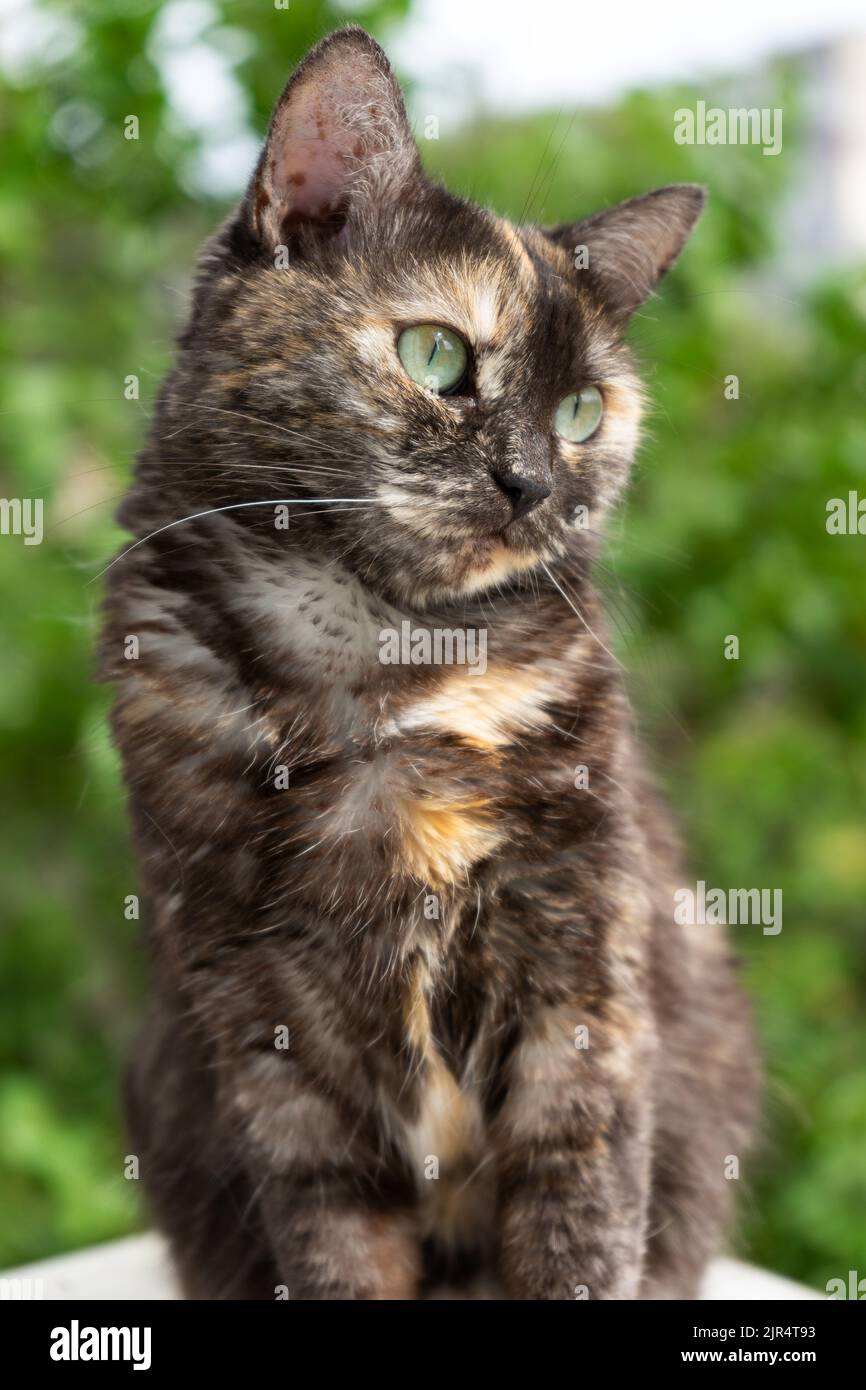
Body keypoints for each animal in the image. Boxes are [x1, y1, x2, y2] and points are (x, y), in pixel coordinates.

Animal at [101, 24, 756, 1301]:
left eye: (582, 413)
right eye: (436, 353)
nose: (532, 485)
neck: (380, 672)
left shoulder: (581, 973)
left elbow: (580, 1214)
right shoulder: (257, 1021)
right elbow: (334, 1242)